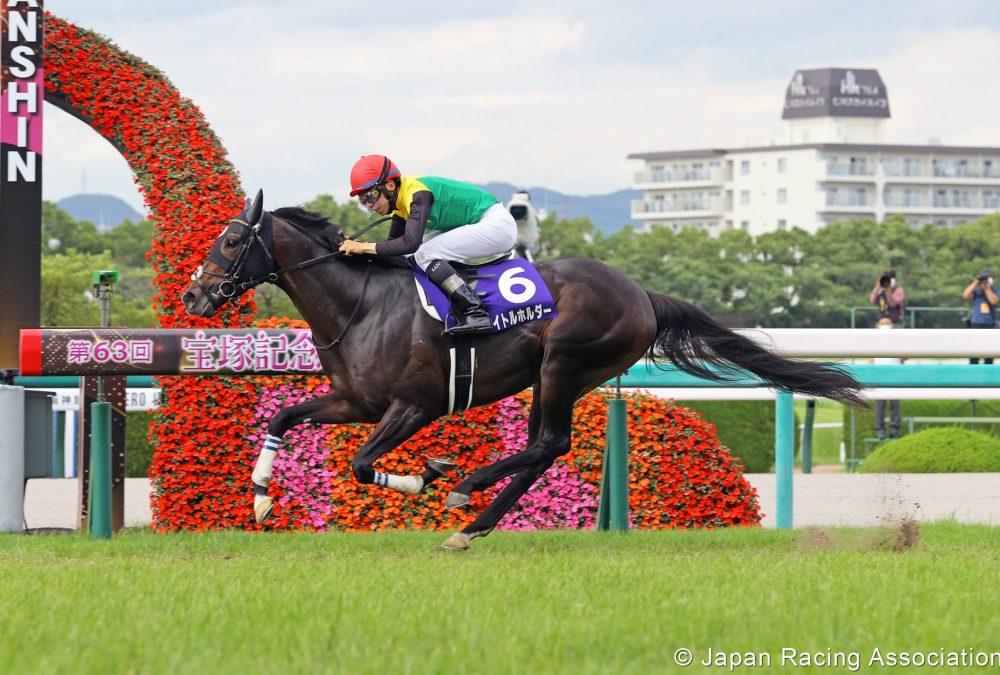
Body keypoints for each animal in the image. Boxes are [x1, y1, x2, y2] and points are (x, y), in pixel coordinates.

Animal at [182, 190, 868, 548]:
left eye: (231, 240)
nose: (193, 296)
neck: (362, 305)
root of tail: (643, 295)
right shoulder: (356, 402)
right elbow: (283, 417)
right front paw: (261, 499)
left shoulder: (413, 405)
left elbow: (360, 463)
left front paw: (429, 475)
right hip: (549, 376)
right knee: (545, 447)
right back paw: (472, 525)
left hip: (566, 361)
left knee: (550, 442)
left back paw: (466, 488)